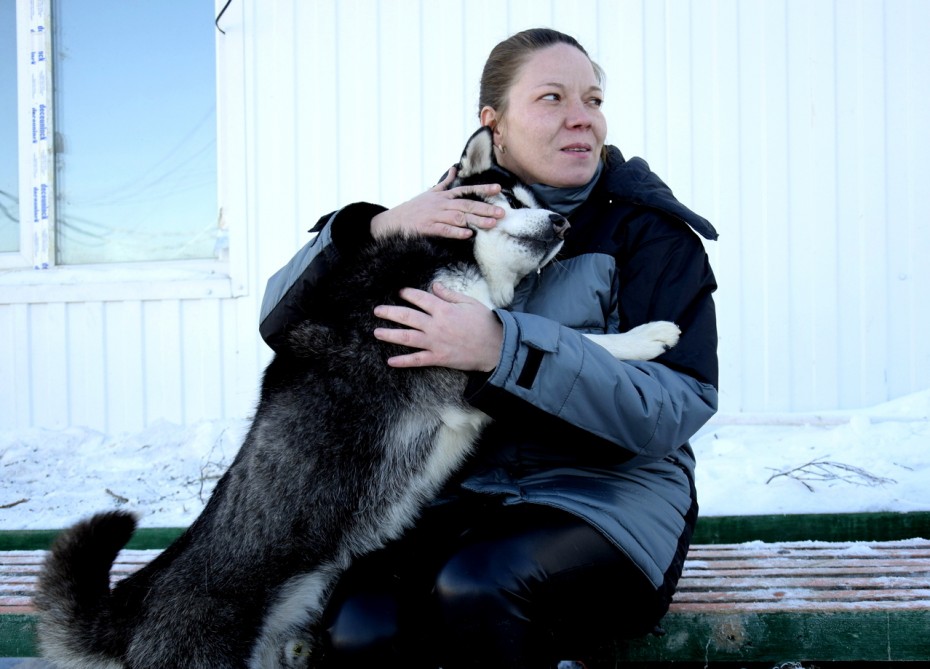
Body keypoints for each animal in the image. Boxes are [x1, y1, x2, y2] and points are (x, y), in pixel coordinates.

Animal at [36, 126, 676, 668]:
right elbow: (571, 337)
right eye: (509, 200)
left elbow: (545, 335)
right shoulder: (457, 368)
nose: (561, 226)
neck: (449, 257)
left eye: (536, 202)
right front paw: (644, 337)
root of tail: (135, 604)